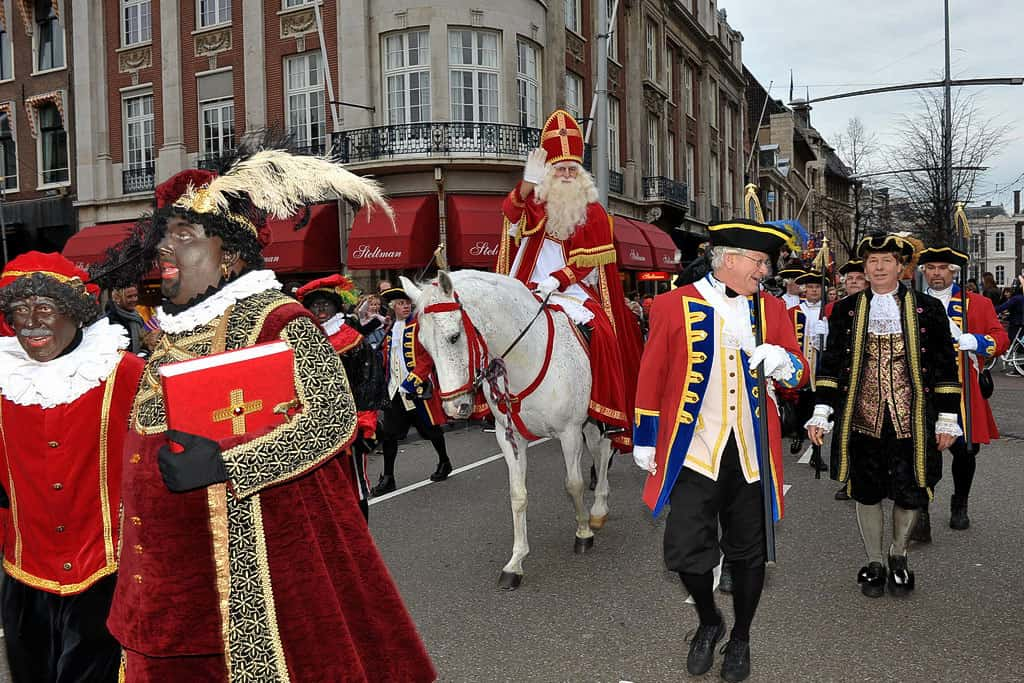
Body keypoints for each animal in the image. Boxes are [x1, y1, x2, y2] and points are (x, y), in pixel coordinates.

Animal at [401, 270, 614, 589]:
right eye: (424, 346)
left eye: (454, 336)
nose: (453, 408)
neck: (525, 359)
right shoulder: (509, 436)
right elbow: (518, 495)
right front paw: (515, 563)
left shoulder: (569, 431)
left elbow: (573, 484)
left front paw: (583, 532)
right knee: (599, 452)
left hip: (601, 412)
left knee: (605, 450)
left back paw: (599, 508)